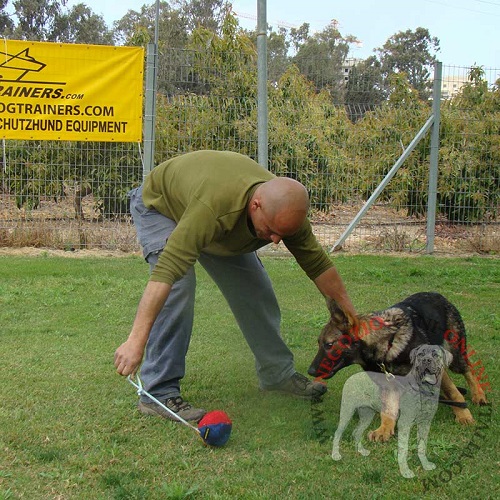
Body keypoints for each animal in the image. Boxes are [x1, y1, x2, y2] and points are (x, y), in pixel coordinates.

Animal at [308, 292, 488, 442]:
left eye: (329, 344)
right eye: (319, 343)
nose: (310, 371)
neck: (386, 345)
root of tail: (438, 295)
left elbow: (453, 393)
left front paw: (463, 415)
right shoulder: (388, 383)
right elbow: (388, 409)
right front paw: (385, 429)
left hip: (455, 356)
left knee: (468, 370)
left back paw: (478, 395)